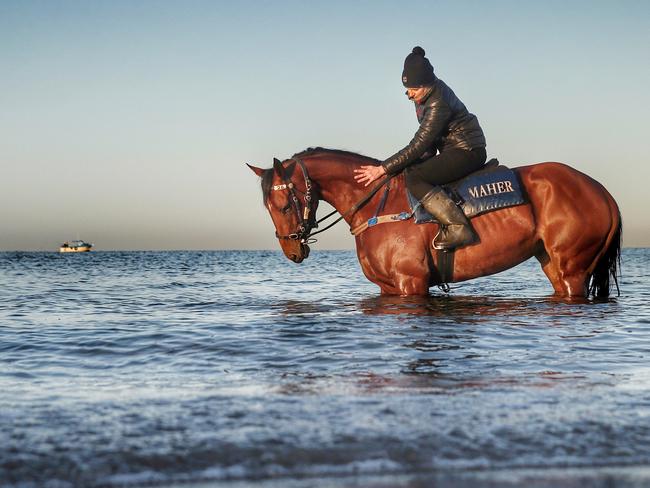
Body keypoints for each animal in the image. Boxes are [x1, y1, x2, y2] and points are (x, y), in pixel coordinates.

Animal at [247, 147, 616, 298]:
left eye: (283, 204)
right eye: (267, 207)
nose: (292, 251)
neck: (377, 206)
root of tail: (602, 193)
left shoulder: (411, 283)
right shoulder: (388, 287)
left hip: (571, 268)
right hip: (551, 263)